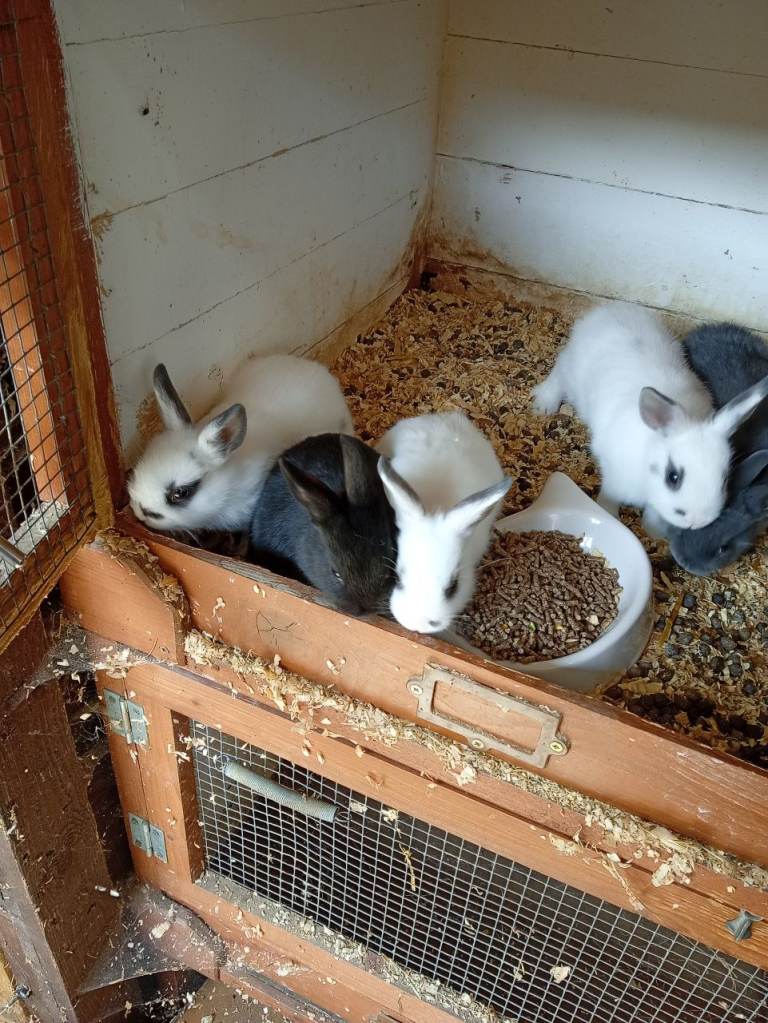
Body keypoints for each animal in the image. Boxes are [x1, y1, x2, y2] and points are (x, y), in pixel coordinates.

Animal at [532, 303, 768, 534]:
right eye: (672, 477)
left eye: (724, 478)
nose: (696, 521)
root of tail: (609, 310)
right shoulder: (614, 477)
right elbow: (610, 497)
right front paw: (610, 515)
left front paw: (654, 532)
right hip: (571, 370)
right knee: (558, 373)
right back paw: (544, 405)